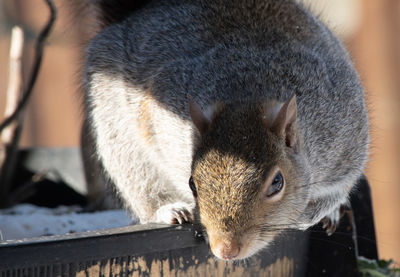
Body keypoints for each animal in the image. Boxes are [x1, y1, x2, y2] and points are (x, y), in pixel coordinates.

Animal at [80, 0, 368, 258]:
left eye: (277, 183)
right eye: (192, 183)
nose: (225, 250)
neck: (248, 96)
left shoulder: (346, 136)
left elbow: (341, 185)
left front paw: (314, 212)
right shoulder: (157, 112)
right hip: (119, 137)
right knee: (139, 184)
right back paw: (168, 209)